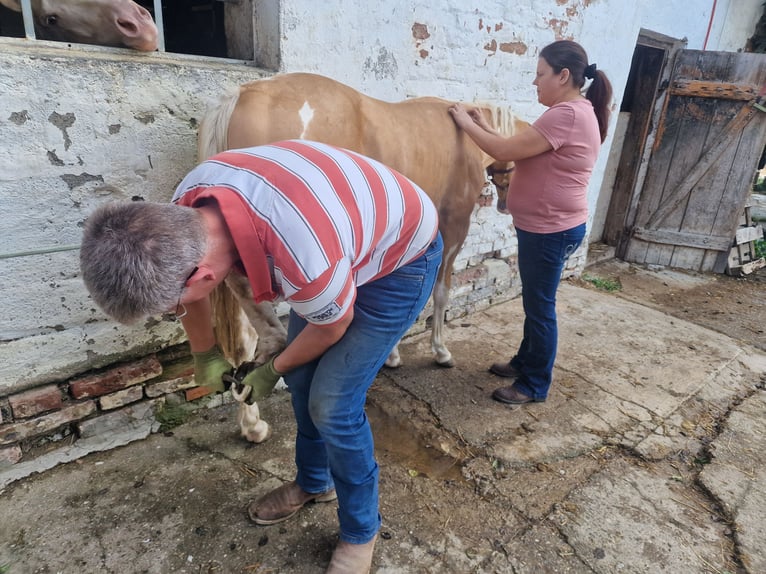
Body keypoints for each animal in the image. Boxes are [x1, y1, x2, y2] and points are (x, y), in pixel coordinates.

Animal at [198, 72, 528, 376]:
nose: (505, 206)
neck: (463, 135)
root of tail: (244, 93)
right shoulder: (454, 224)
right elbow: (441, 290)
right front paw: (440, 351)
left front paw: (391, 354)